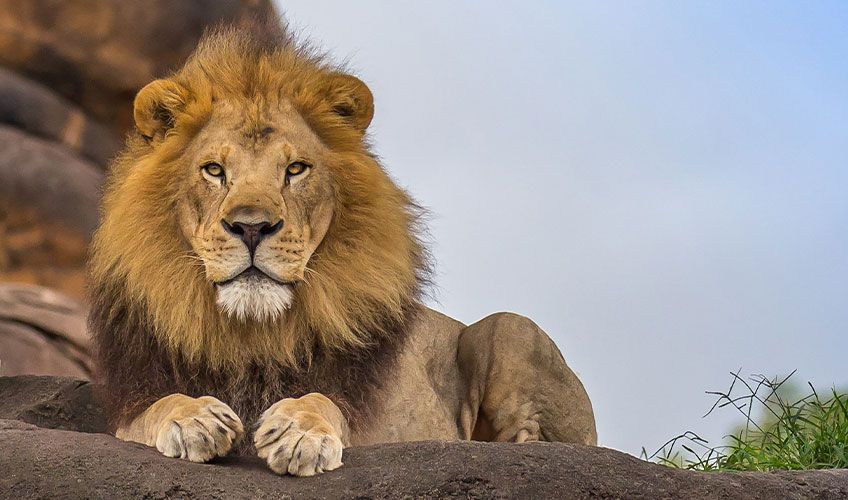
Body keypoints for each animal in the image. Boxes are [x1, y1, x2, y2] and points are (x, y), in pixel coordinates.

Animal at [89, 26, 596, 477]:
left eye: (296, 169)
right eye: (214, 170)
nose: (252, 227)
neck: (252, 333)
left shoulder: (370, 416)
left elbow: (322, 400)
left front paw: (298, 431)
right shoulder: (131, 398)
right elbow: (158, 407)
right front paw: (195, 418)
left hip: (510, 329)